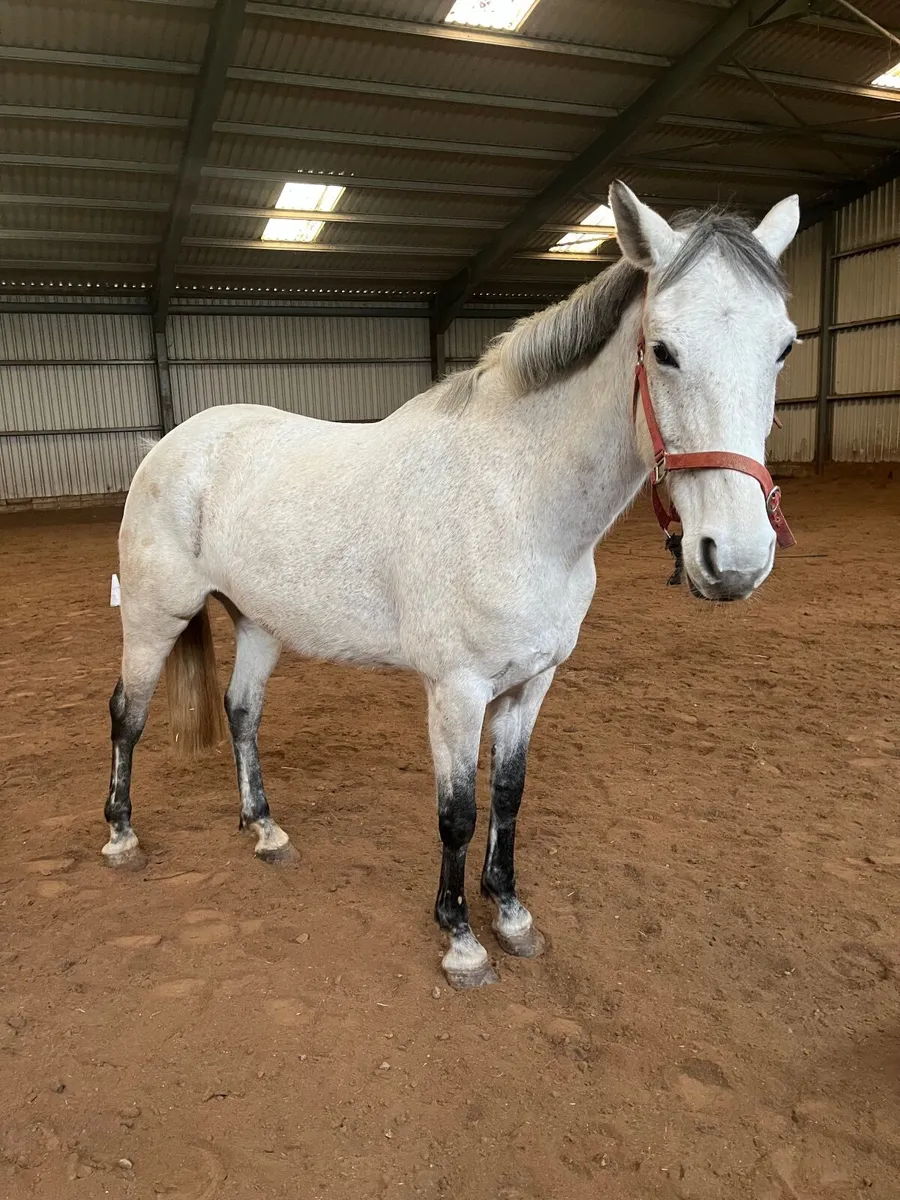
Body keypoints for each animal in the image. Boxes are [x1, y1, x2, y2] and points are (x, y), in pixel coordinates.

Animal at [103, 183, 799, 989]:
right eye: (662, 349)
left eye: (784, 347)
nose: (736, 560)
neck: (516, 500)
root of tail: (172, 443)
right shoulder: (457, 690)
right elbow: (458, 813)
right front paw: (461, 938)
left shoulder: (531, 685)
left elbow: (509, 795)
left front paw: (512, 914)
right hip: (153, 617)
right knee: (127, 715)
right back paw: (121, 837)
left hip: (259, 622)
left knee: (242, 713)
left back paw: (267, 830)